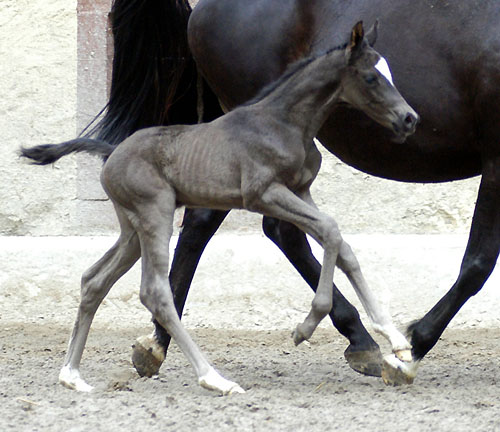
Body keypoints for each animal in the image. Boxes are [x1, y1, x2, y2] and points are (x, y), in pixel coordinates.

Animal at [21, 23, 416, 394]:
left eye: (389, 70)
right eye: (371, 77)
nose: (409, 118)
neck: (285, 123)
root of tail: (111, 151)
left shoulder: (300, 191)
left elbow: (342, 245)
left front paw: (397, 341)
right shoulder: (263, 194)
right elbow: (331, 230)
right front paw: (305, 328)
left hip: (132, 228)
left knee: (94, 280)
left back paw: (72, 376)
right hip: (155, 213)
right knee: (155, 292)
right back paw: (214, 378)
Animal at [91, 0, 500, 384]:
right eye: (371, 77)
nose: (410, 119)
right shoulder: (496, 160)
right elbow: (478, 263)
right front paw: (412, 349)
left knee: (216, 224)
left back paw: (158, 342)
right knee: (267, 229)